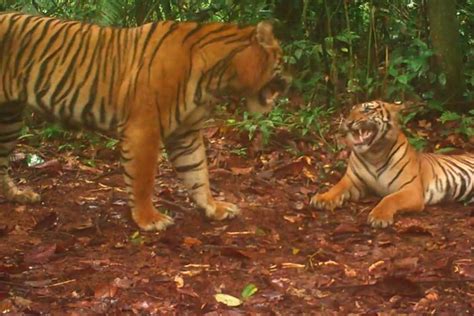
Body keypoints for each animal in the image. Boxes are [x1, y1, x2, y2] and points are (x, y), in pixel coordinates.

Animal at [0, 12, 288, 231]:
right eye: (281, 62)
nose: (290, 82)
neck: (217, 77)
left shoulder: (185, 134)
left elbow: (198, 172)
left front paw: (213, 207)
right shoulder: (144, 129)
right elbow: (143, 179)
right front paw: (149, 220)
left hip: (9, 119)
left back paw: (18, 195)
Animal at [312, 101, 474, 227]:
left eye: (367, 109)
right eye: (351, 110)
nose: (348, 123)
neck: (374, 154)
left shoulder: (411, 189)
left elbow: (389, 198)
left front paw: (379, 217)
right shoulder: (353, 181)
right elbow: (336, 187)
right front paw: (322, 198)